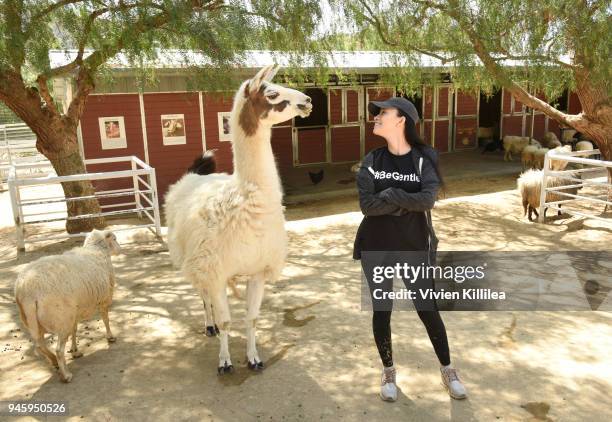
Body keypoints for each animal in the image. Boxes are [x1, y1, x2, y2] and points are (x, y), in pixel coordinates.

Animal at [14, 231, 122, 382]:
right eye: (115, 239)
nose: (120, 249)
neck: (97, 249)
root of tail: (27, 291)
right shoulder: (105, 298)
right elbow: (105, 318)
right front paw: (110, 337)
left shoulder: (74, 311)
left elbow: (74, 330)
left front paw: (75, 350)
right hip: (61, 317)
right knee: (59, 349)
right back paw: (66, 375)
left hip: (35, 320)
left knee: (39, 344)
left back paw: (54, 361)